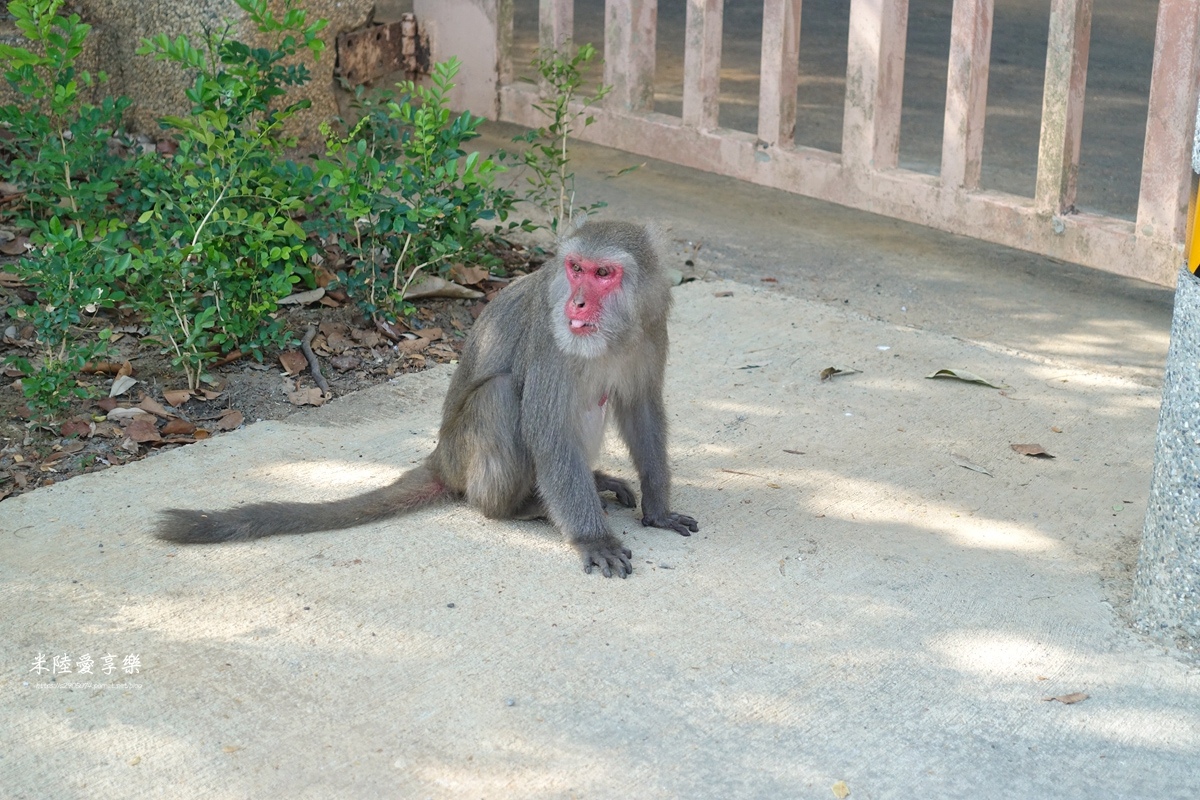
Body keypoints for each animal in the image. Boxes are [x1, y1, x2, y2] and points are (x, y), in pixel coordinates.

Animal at [159, 221, 700, 578]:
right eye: (575, 268)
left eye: (603, 273)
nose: (578, 302)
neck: (613, 334)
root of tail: (442, 457)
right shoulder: (551, 339)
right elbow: (547, 432)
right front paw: (592, 538)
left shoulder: (652, 329)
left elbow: (642, 412)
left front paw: (658, 507)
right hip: (466, 456)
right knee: (502, 397)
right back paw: (523, 507)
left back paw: (593, 480)